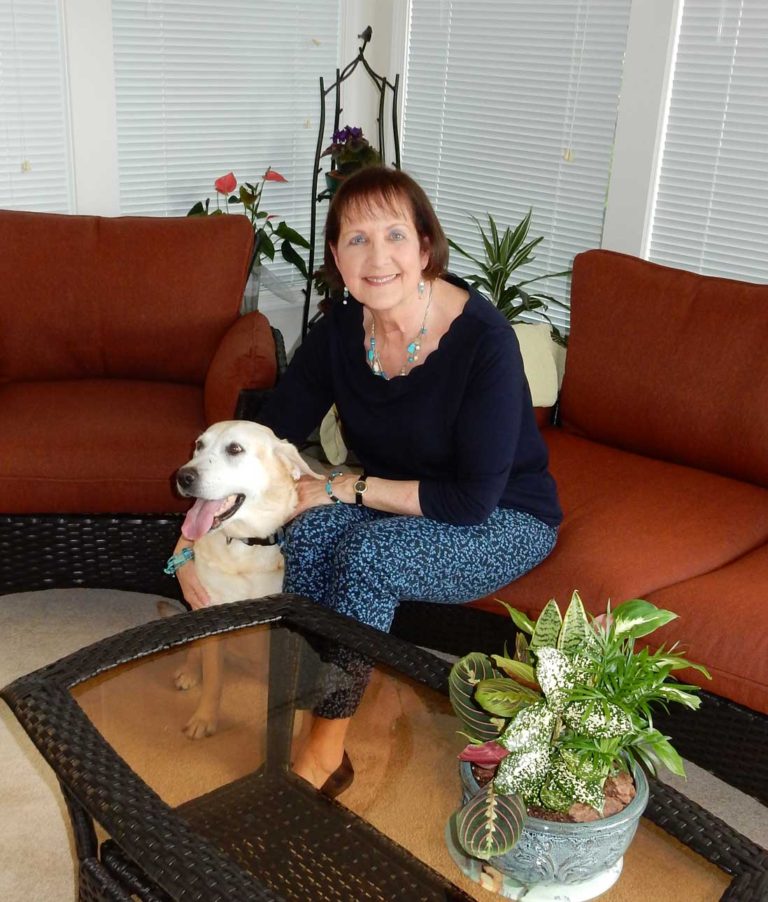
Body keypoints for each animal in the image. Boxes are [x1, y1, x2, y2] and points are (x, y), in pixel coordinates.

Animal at [172, 420, 320, 740]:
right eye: (199, 445)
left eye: (235, 449)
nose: (183, 476)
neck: (244, 546)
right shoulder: (211, 616)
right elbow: (214, 680)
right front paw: (205, 718)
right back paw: (189, 671)